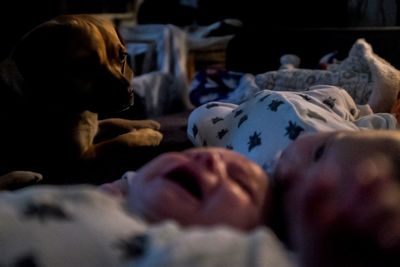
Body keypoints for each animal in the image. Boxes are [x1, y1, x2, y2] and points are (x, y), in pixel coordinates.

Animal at [0, 14, 164, 186]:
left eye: (122, 57)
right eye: (86, 64)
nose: (129, 92)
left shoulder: (92, 128)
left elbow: (113, 120)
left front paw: (146, 123)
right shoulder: (81, 157)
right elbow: (122, 140)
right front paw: (149, 135)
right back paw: (25, 176)